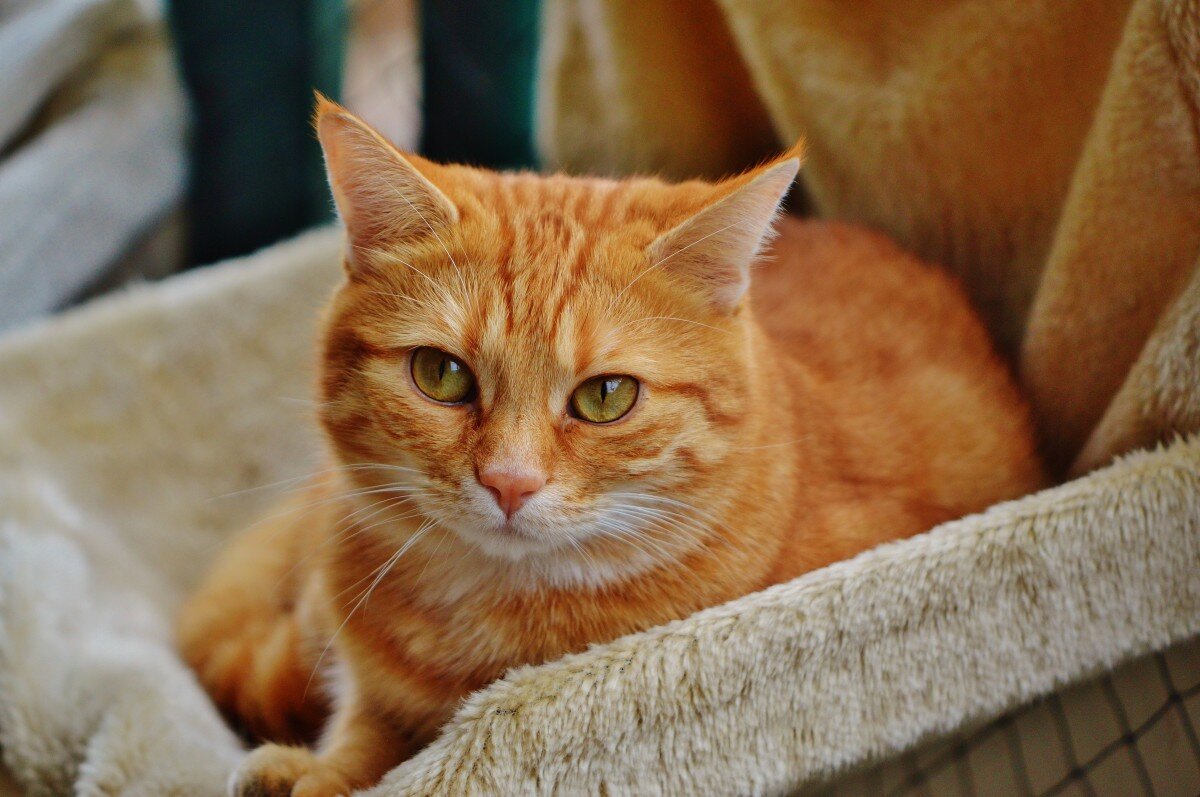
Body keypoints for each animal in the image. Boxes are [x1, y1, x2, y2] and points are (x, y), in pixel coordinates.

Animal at [175, 99, 1041, 797]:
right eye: (441, 374)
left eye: (606, 396)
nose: (509, 481)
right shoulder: (364, 676)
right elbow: (362, 732)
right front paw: (316, 769)